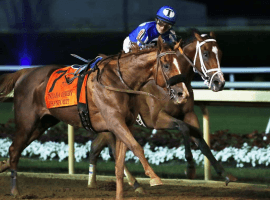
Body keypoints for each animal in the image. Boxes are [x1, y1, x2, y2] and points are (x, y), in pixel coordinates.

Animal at [0, 36, 189, 200]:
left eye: (180, 64)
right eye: (166, 65)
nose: (183, 93)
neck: (118, 81)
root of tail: (25, 72)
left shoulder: (124, 124)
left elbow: (119, 163)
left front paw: (121, 194)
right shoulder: (115, 122)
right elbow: (136, 147)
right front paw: (154, 178)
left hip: (42, 124)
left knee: (16, 150)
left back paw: (6, 168)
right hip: (27, 122)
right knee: (14, 150)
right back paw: (15, 191)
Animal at [87, 28, 236, 192]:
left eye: (220, 53)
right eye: (205, 53)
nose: (219, 82)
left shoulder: (188, 114)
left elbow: (200, 140)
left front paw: (225, 174)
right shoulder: (156, 119)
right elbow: (183, 128)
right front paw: (190, 167)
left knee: (95, 147)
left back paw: (92, 182)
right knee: (112, 150)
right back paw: (133, 183)